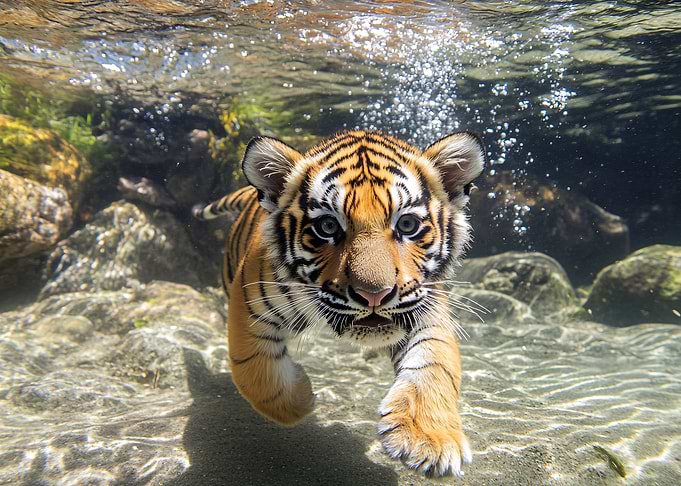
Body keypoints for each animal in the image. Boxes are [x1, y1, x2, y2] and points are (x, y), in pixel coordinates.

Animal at [193, 129, 485, 477]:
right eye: (328, 227)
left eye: (407, 225)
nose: (375, 294)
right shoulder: (249, 308)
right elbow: (256, 374)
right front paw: (302, 398)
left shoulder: (424, 306)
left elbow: (434, 365)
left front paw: (429, 440)